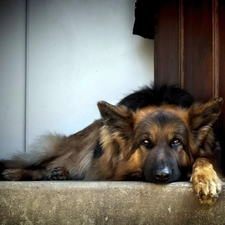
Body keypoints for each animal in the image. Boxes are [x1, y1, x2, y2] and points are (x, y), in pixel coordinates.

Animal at [0, 84, 222, 204]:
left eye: (176, 141)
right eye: (146, 142)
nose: (162, 175)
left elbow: (204, 159)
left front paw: (205, 179)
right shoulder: (115, 169)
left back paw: (59, 174)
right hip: (79, 149)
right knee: (41, 163)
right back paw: (20, 173)